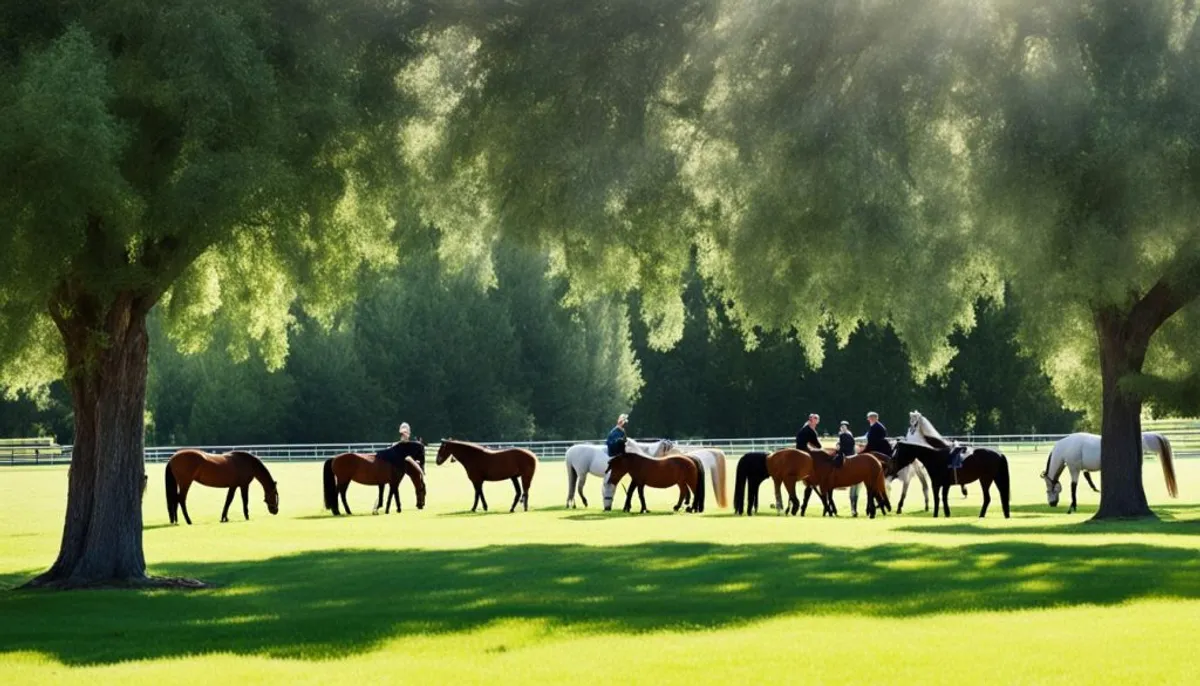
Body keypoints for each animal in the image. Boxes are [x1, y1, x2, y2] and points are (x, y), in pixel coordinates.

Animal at [1041, 431, 1180, 510]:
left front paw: (1073, 505)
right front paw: (1097, 490)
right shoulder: (1083, 468)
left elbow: (1073, 486)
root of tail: (1143, 437)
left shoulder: (1074, 468)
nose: (1052, 504)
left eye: (1048, 490)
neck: (1066, 447)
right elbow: (1088, 478)